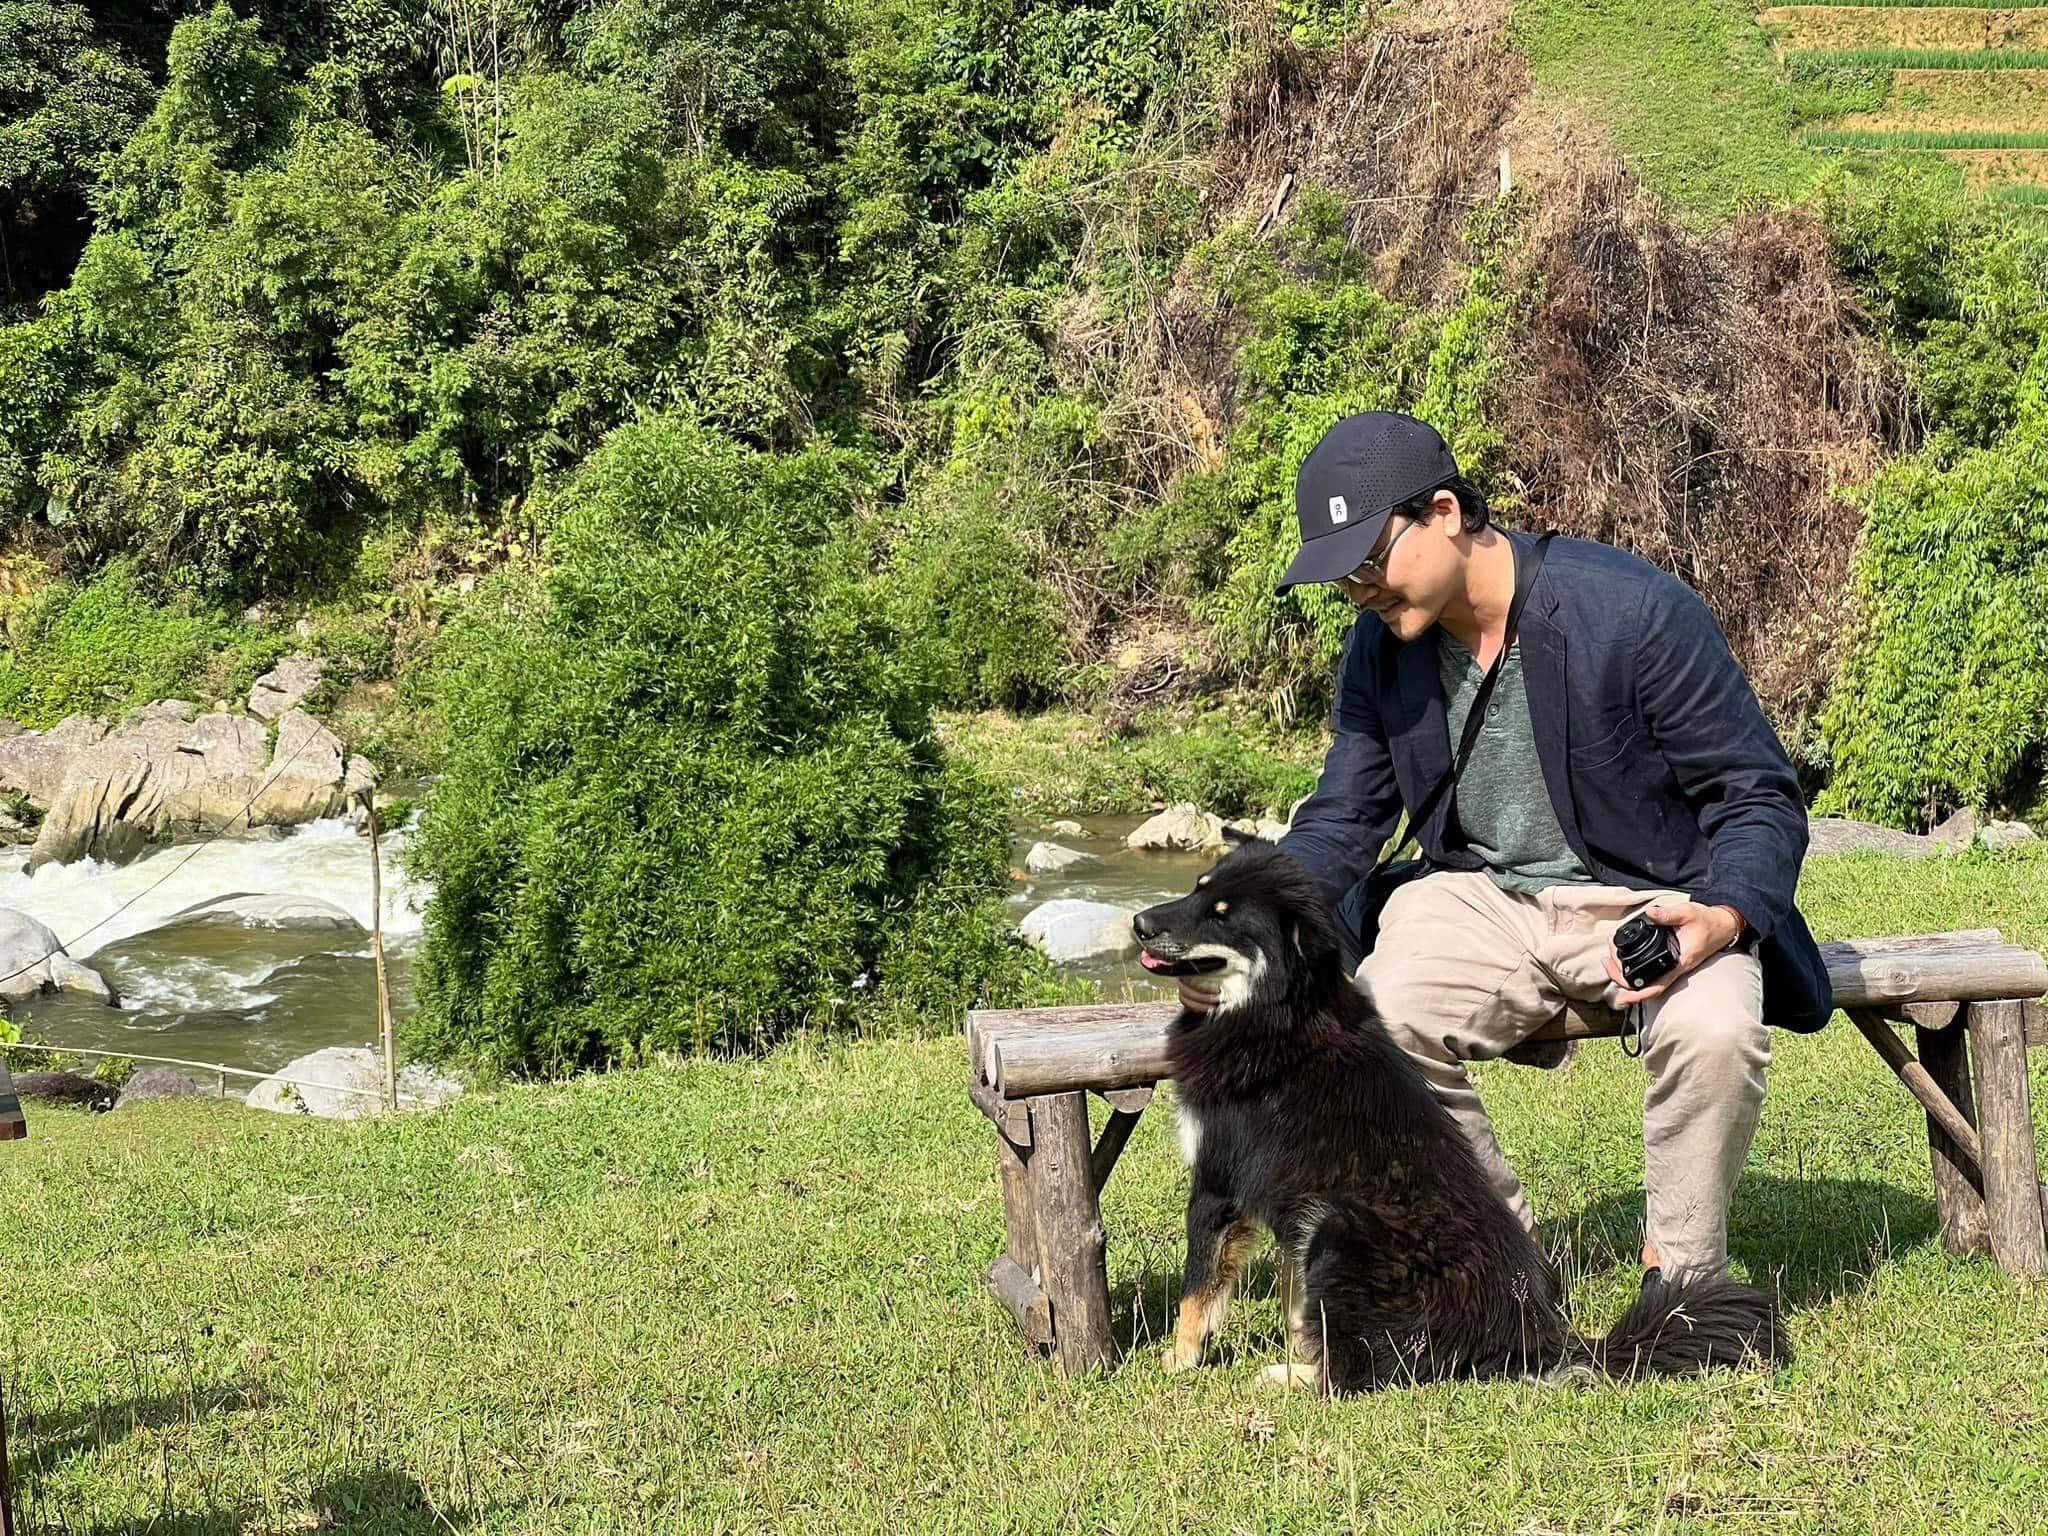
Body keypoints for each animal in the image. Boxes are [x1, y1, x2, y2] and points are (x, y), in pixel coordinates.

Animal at [1138, 843, 1794, 1392]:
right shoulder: (1279, 1208)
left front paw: (1176, 1360)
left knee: (1360, 1377)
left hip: (1335, 1228)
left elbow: (1198, 1289)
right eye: (1197, 889)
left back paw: (1288, 1378)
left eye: (1221, 915)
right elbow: (1291, 1299)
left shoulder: (1220, 1185)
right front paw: (1282, 1343)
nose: (1140, 923)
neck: (1279, 1014)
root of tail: (1535, 1341)